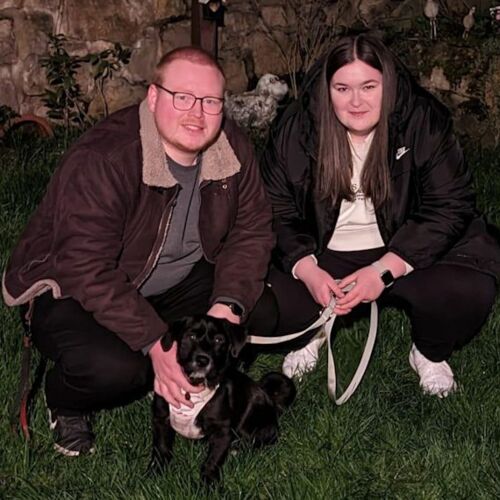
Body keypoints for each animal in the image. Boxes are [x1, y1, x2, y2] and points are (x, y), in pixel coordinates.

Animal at [149, 315, 296, 484]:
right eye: (191, 336)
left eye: (219, 340)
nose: (202, 360)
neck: (193, 388)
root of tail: (270, 400)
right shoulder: (161, 419)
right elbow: (161, 449)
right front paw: (154, 473)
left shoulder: (222, 432)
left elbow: (212, 461)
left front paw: (208, 483)